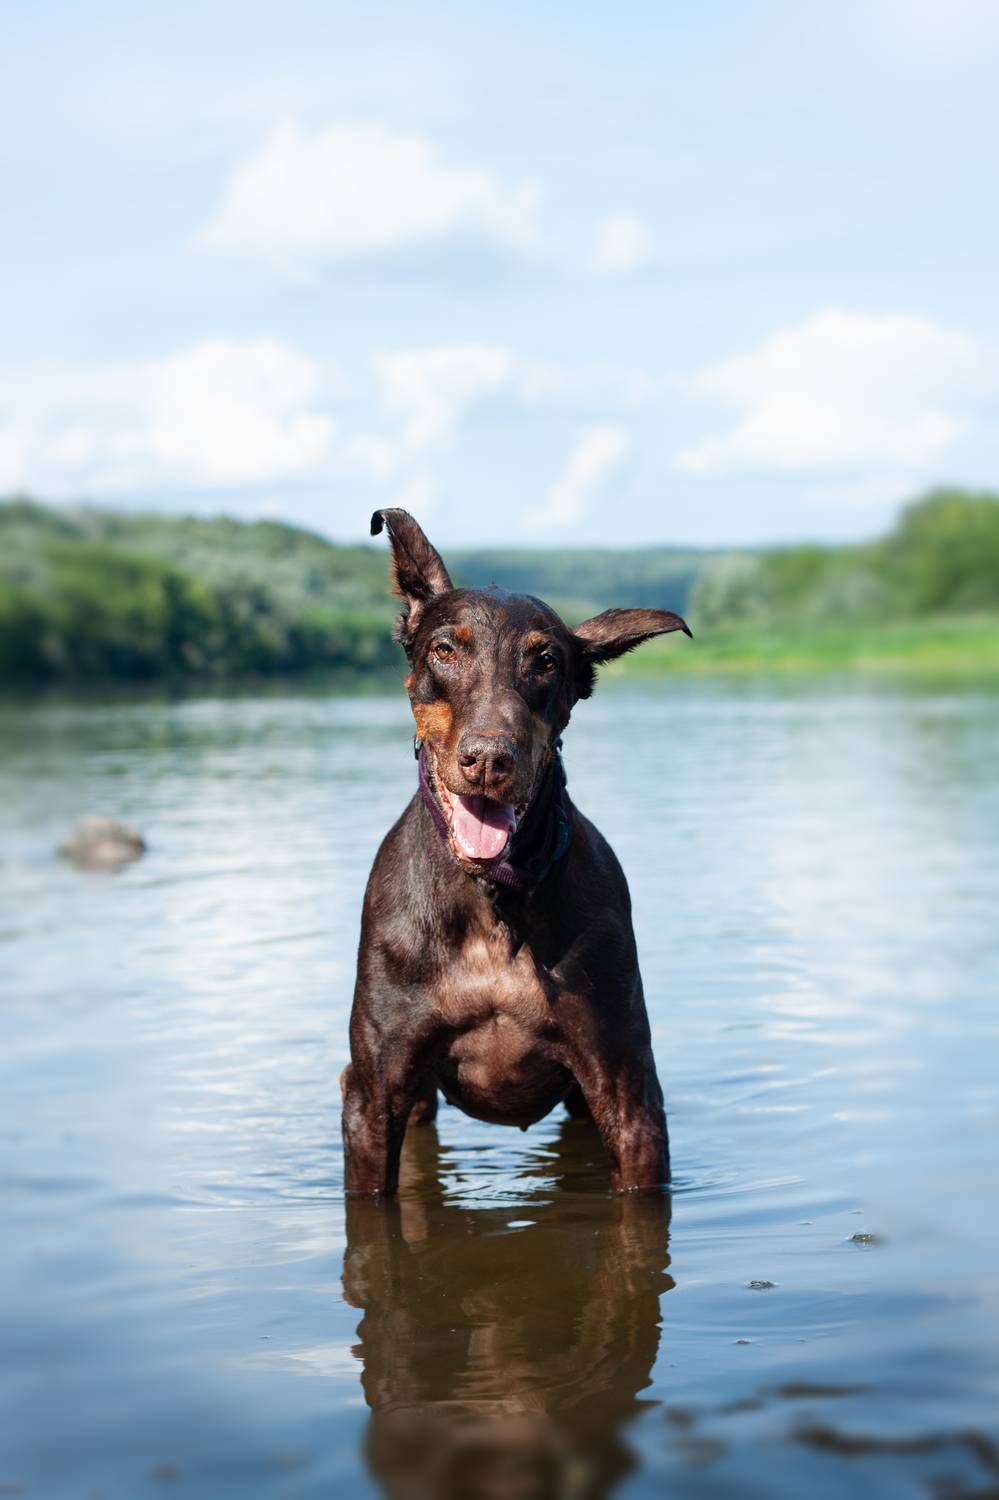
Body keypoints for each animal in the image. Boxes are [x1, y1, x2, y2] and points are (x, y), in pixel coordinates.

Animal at [342, 509, 691, 1195]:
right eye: (444, 649)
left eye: (546, 661)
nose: (487, 759)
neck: (493, 895)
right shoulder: (372, 1093)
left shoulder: (627, 1090)